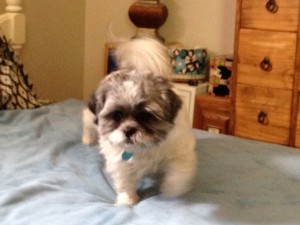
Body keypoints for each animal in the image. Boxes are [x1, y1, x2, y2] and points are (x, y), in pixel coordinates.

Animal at [83, 37, 198, 206]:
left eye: (146, 117)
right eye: (116, 116)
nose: (129, 129)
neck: (143, 148)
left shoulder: (181, 151)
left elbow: (179, 173)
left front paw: (171, 188)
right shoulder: (119, 161)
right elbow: (125, 181)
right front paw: (127, 199)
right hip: (92, 119)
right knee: (86, 117)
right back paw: (87, 137)